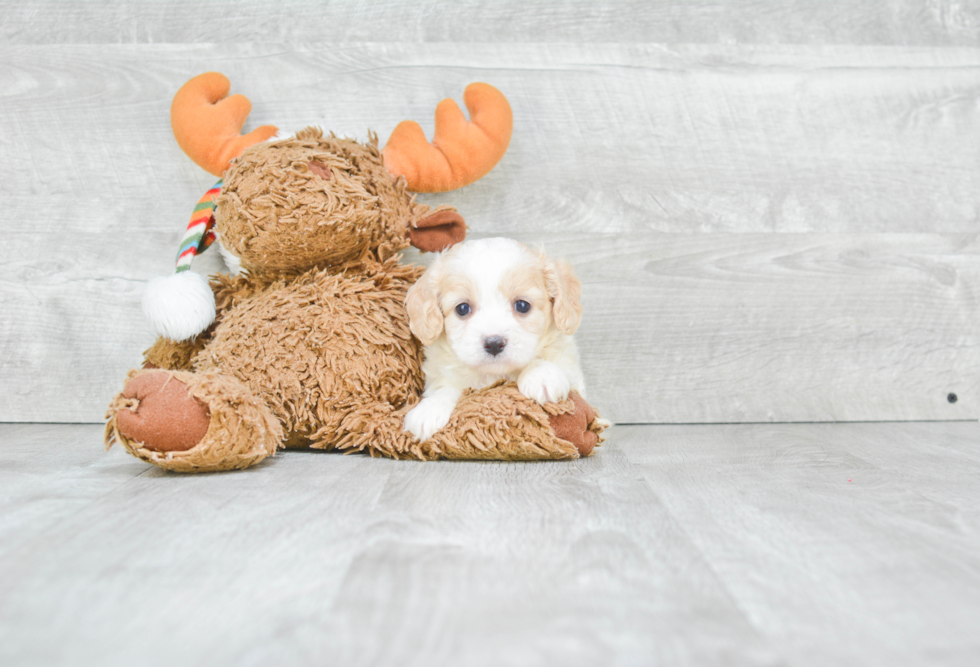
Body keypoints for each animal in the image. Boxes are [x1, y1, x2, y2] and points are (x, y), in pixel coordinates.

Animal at [404, 236, 584, 444]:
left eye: (522, 305)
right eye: (462, 308)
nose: (494, 344)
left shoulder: (575, 377)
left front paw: (541, 375)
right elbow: (445, 388)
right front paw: (429, 409)